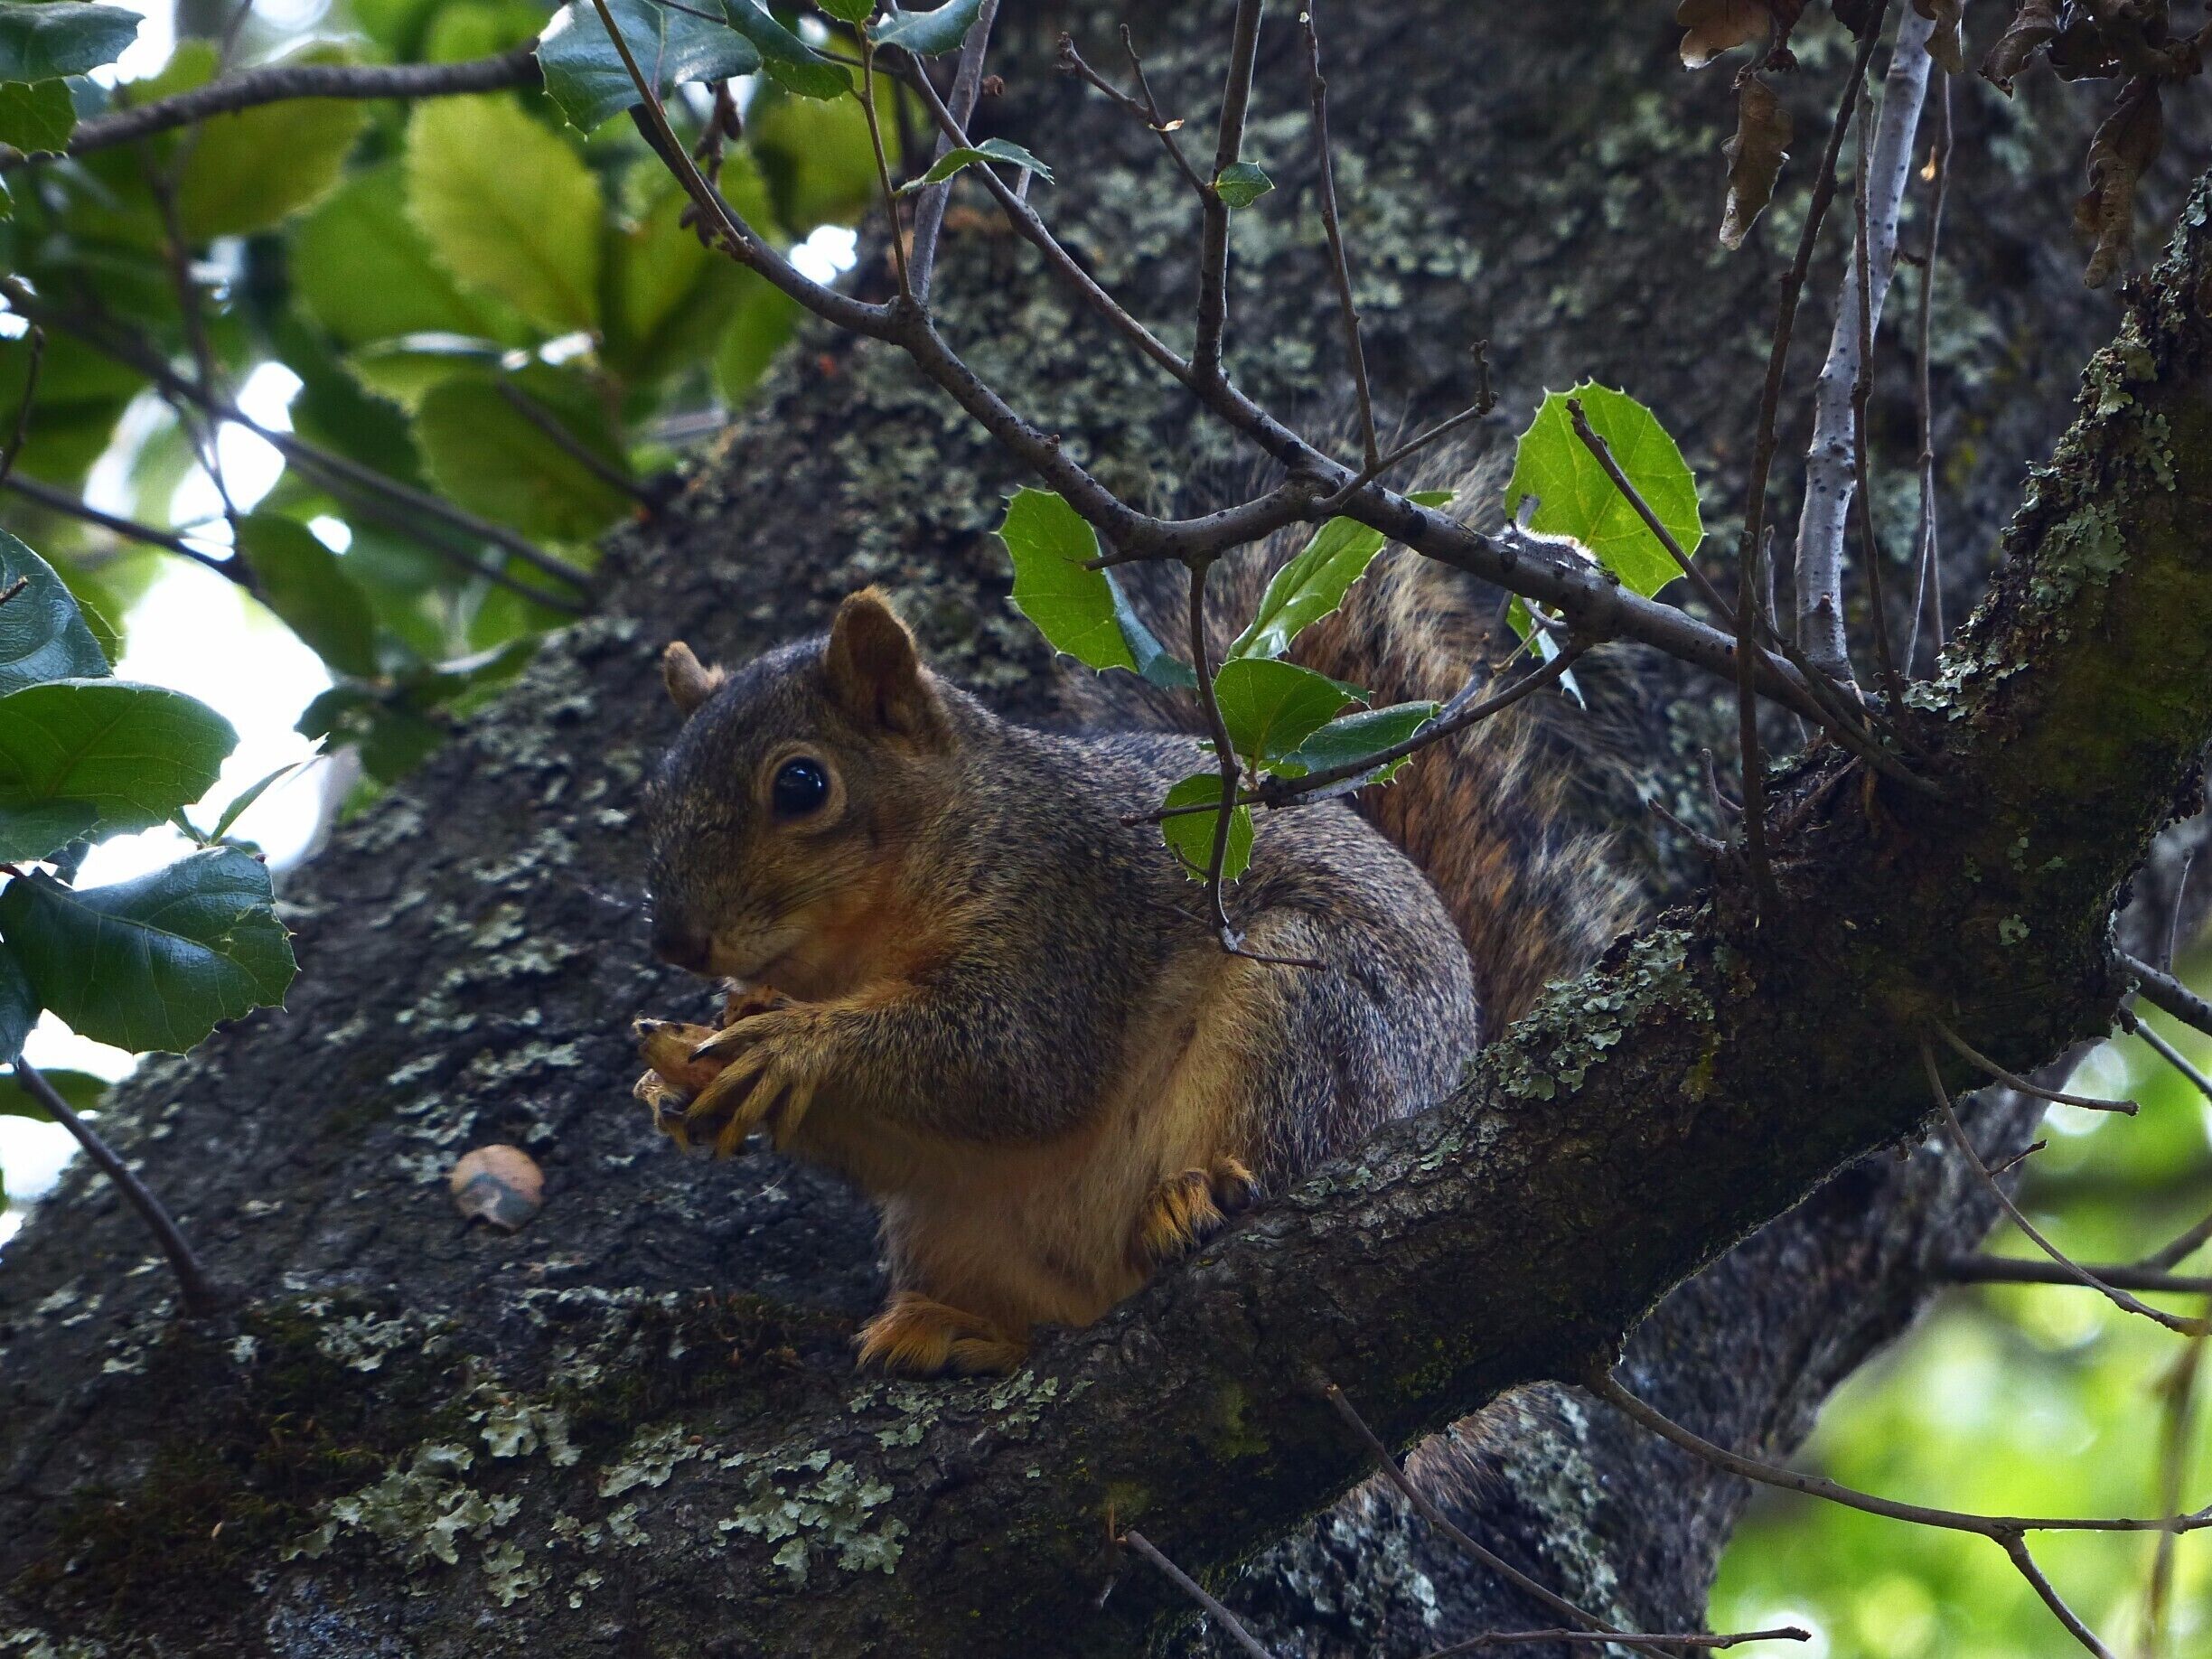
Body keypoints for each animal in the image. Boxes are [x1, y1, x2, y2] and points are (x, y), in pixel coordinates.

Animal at [636, 480, 1635, 1376]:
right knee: (1053, 1322)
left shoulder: (1070, 910)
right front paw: (679, 1082)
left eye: (801, 785)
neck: (859, 945)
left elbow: (1016, 1063)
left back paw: (1197, 1199)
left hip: (1309, 1014)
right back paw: (963, 1332)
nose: (675, 942)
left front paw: (792, 1044)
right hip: (945, 1229)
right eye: (657, 784)